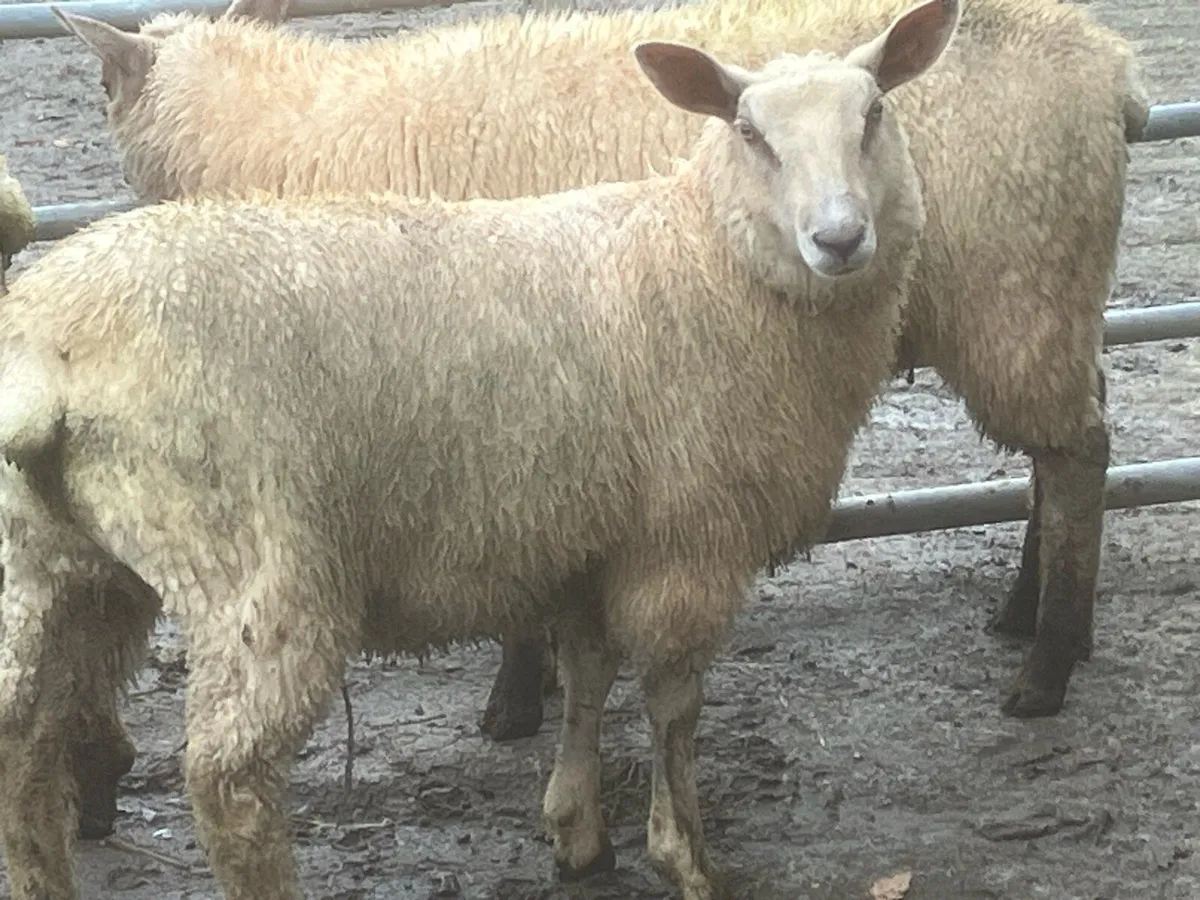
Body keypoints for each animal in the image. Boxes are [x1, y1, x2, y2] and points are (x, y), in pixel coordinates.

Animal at [0, 4, 960, 897]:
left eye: (874, 114)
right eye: (750, 132)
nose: (839, 238)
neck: (703, 258)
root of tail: (53, 344)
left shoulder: (591, 537)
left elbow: (589, 674)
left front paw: (577, 830)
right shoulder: (687, 543)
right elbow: (671, 705)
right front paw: (683, 856)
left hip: (59, 565)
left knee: (24, 738)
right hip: (251, 571)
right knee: (227, 776)